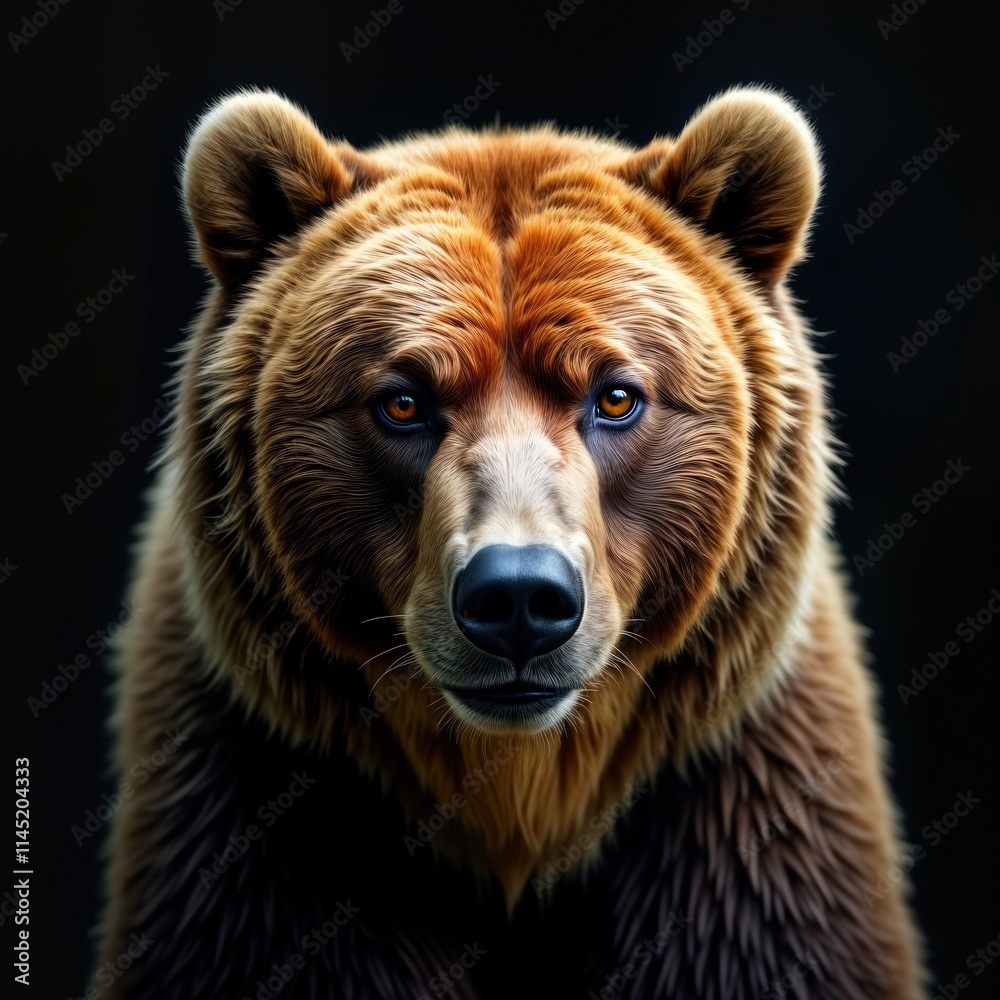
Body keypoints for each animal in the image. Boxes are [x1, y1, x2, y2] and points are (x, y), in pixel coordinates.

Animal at [93, 86, 927, 998]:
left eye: (617, 395)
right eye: (402, 400)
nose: (520, 597)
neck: (520, 802)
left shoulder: (743, 832)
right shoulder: (260, 834)